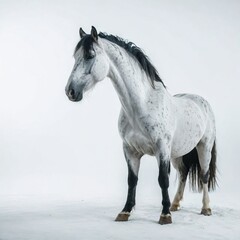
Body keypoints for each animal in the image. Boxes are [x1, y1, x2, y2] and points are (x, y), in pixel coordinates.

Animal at [65, 26, 218, 225]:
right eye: (75, 57)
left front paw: (165, 215)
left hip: (203, 147)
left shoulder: (162, 149)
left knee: (204, 176)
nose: (70, 91)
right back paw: (175, 204)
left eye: (90, 55)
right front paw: (125, 212)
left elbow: (163, 179)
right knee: (184, 174)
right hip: (178, 152)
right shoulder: (130, 150)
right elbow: (132, 180)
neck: (142, 105)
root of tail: (202, 101)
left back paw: (205, 208)